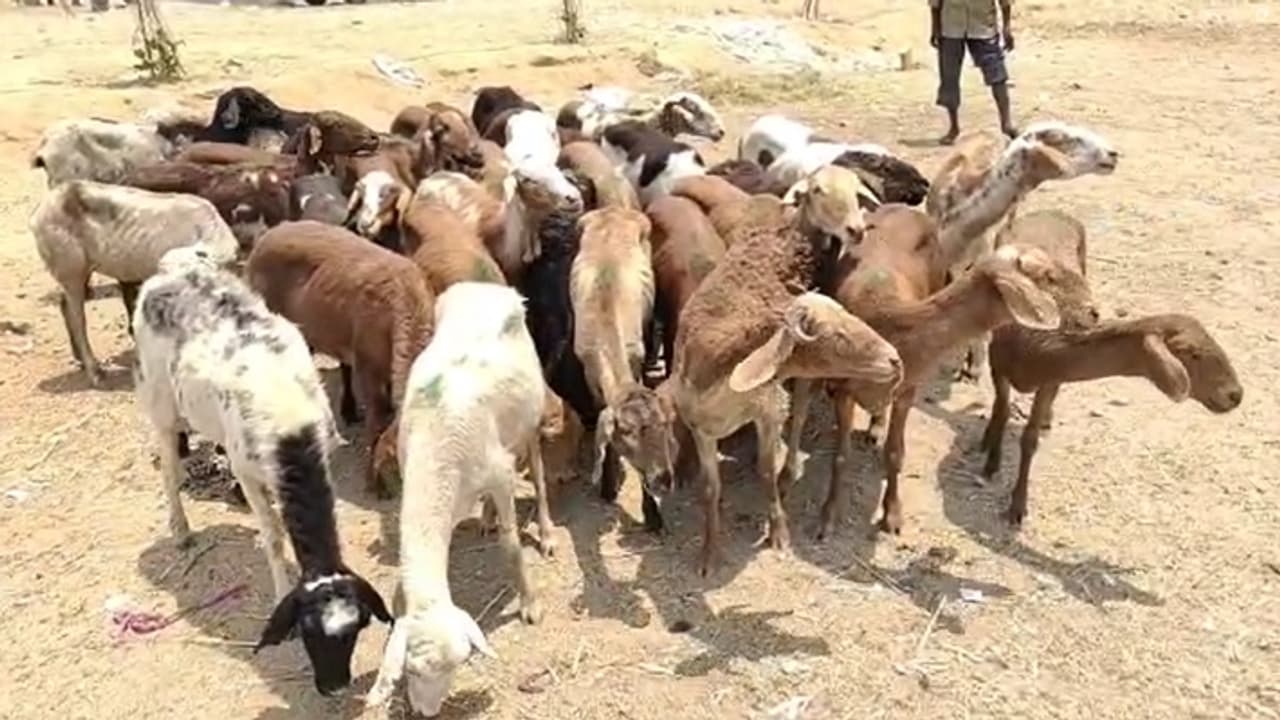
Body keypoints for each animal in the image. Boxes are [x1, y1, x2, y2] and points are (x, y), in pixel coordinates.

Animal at [29, 180, 239, 385]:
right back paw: (95, 371)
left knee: (64, 306)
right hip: (71, 271)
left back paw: (80, 359)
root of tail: (40, 211)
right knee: (76, 318)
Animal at [132, 244, 391, 695]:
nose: (335, 688)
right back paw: (180, 528)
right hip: (160, 401)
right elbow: (272, 534)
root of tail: (174, 263)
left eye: (356, 629)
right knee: (167, 464)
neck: (289, 424)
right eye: (306, 632)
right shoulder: (249, 473)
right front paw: (279, 583)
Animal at [365, 282, 549, 717]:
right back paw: (485, 517)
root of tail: (485, 288)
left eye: (458, 666)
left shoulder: (501, 474)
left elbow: (511, 546)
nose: (427, 712)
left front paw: (529, 603)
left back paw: (545, 529)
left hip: (529, 422)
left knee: (538, 470)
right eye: (412, 671)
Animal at [569, 207, 672, 531]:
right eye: (625, 431)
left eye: (665, 424)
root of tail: (611, 209)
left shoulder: (633, 360)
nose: (665, 479)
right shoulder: (589, 373)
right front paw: (608, 484)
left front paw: (653, 514)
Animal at [655, 165, 904, 575]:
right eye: (835, 337)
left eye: (857, 192)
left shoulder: (769, 408)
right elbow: (710, 489)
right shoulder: (703, 428)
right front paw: (709, 552)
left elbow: (767, 470)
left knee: (800, 412)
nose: (895, 359)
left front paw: (778, 530)